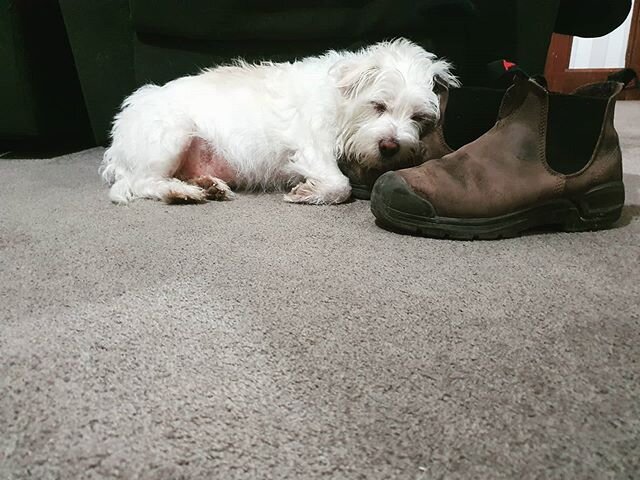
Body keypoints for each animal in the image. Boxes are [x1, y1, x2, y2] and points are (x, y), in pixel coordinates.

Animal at [100, 39, 458, 204]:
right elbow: (339, 185)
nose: (390, 147)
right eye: (378, 106)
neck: (339, 100)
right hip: (171, 136)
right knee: (142, 183)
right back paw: (182, 192)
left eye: (418, 117)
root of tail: (116, 147)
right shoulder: (313, 147)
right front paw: (306, 192)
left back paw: (207, 185)